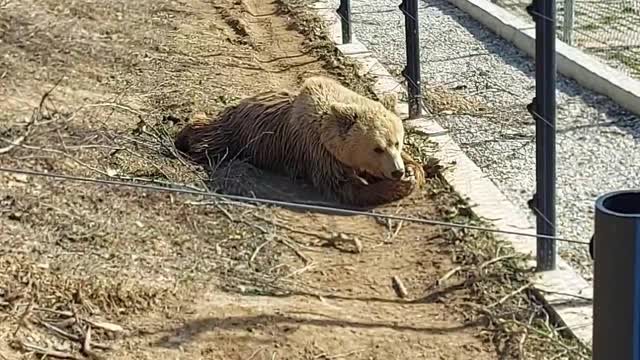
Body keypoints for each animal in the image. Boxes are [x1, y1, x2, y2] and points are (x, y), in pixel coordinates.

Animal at [175, 74, 424, 207]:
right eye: (377, 148)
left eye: (397, 142)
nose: (397, 172)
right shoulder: (318, 152)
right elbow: (345, 186)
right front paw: (398, 185)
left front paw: (412, 173)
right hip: (238, 135)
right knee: (209, 138)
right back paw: (186, 136)